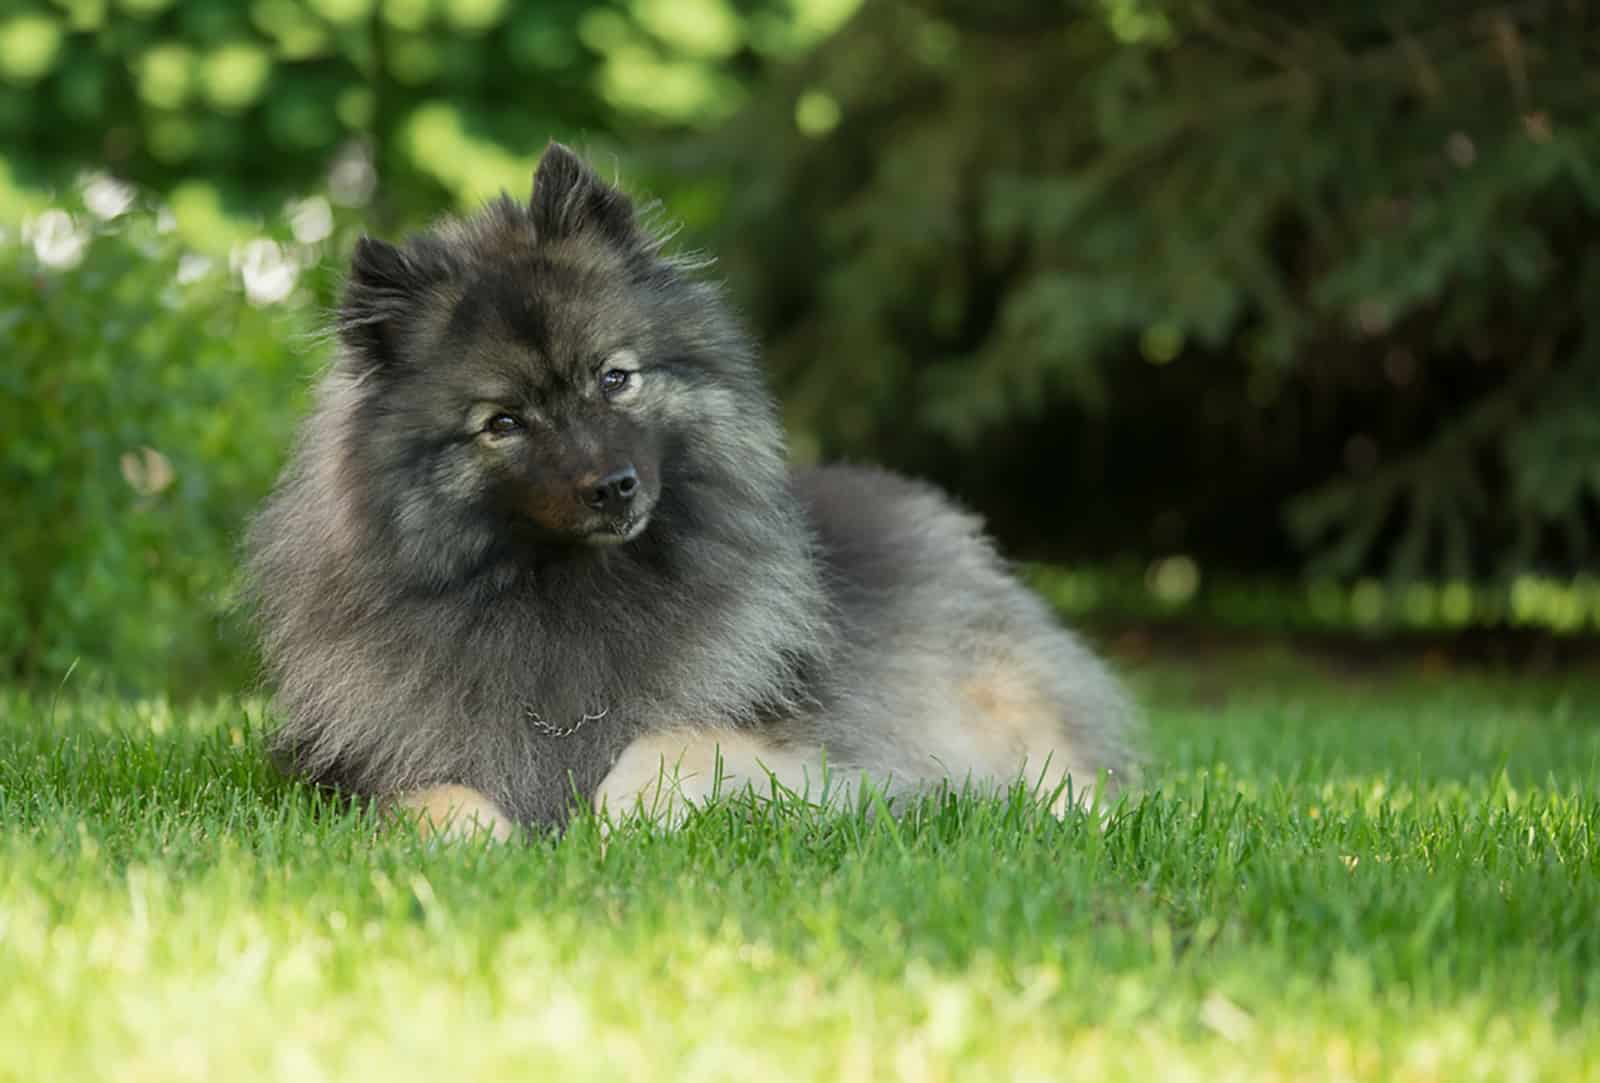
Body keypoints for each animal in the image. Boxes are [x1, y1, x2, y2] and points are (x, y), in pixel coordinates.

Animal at [243, 143, 1139, 838]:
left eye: (615, 378)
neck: (570, 596)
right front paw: (478, 841)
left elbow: (663, 748)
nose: (612, 487)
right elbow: (430, 800)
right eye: (503, 423)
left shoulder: (792, 741)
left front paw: (606, 825)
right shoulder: (361, 768)